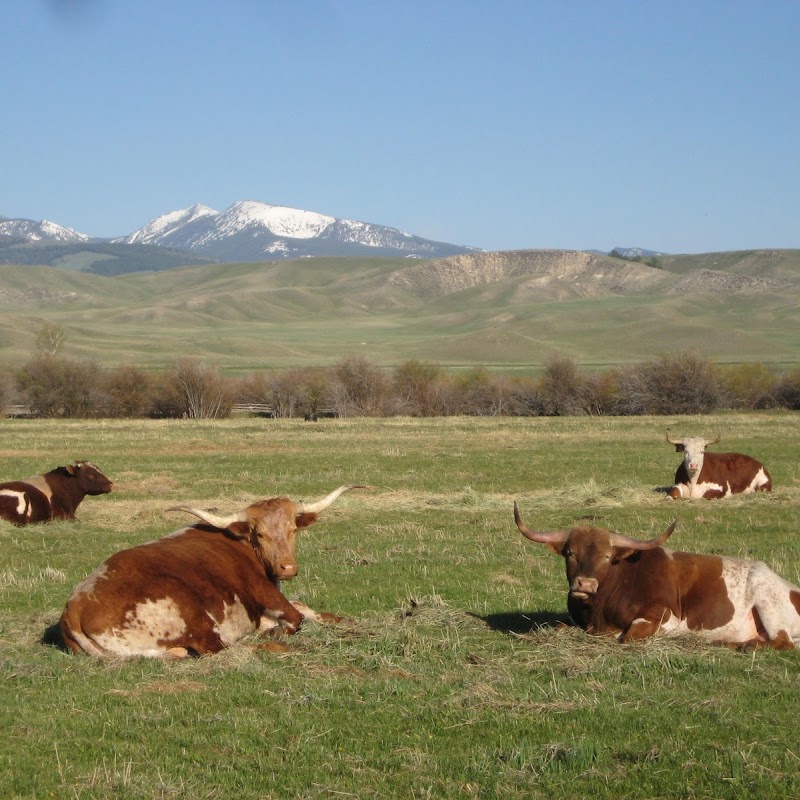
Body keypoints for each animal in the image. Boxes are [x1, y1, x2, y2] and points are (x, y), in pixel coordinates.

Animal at [59, 484, 366, 660]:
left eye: (293, 529)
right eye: (260, 534)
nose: (288, 567)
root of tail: (74, 607)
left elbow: (304, 607)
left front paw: (344, 621)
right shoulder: (264, 592)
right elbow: (296, 616)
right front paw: (276, 631)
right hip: (188, 609)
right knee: (215, 648)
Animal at [512, 506, 800, 648]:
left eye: (607, 556)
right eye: (570, 553)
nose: (585, 583)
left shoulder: (663, 616)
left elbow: (625, 636)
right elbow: (558, 627)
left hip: (767, 601)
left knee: (783, 643)